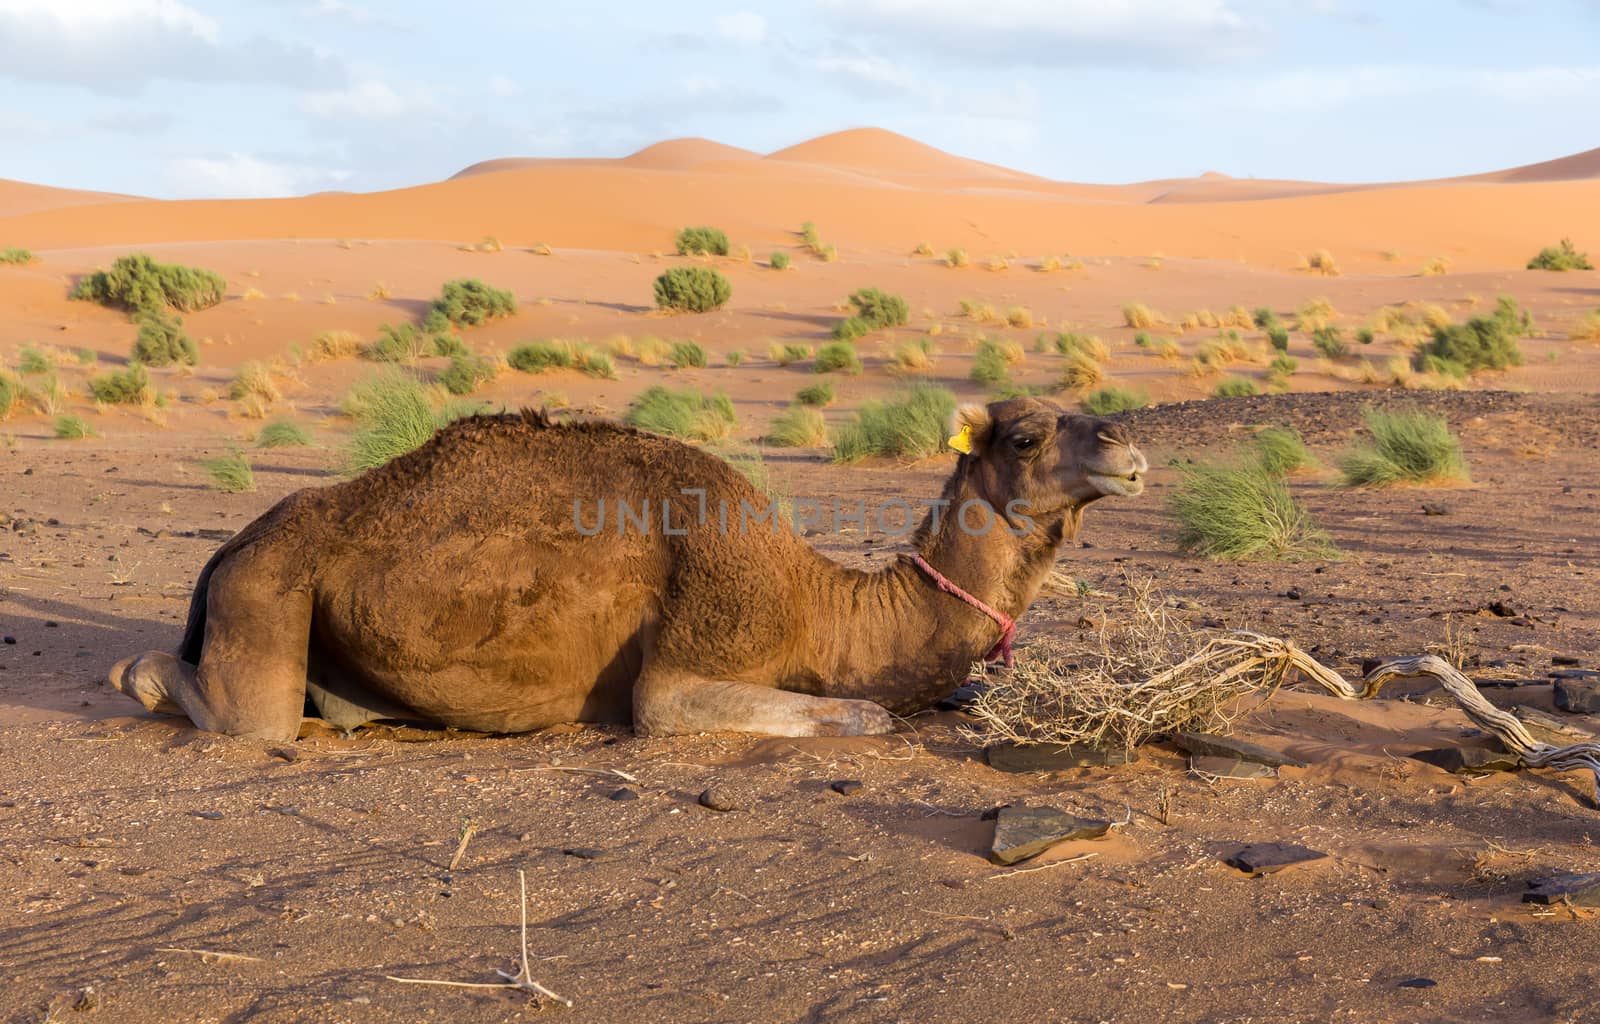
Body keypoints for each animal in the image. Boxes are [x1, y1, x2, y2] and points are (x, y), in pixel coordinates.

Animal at [106, 396, 1145, 739]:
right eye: (1027, 433)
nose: (1129, 449)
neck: (819, 603)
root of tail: (231, 545)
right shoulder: (689, 662)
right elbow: (865, 715)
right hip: (266, 594)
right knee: (236, 710)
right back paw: (135, 673)